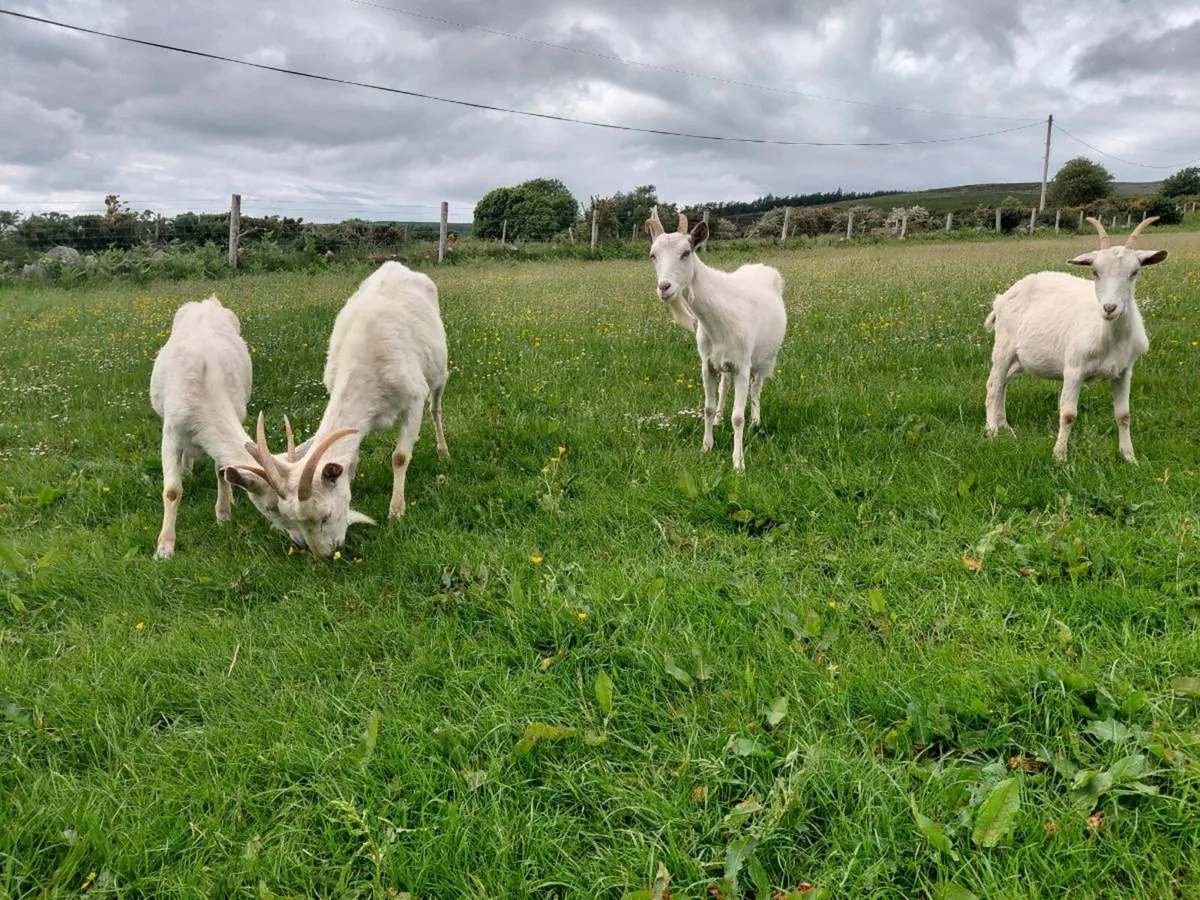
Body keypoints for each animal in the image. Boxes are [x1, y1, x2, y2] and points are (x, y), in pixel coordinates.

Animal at [149, 296, 296, 558]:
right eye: (271, 507)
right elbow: (172, 491)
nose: (294, 540)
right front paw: (164, 548)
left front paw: (224, 516)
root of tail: (208, 301)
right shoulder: (171, 432)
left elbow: (222, 472)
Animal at [224, 261, 449, 557]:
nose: (325, 555)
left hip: (439, 370)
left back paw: (443, 450)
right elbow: (350, 462)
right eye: (287, 516)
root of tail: (397, 265)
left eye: (326, 516)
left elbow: (400, 457)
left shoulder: (412, 398)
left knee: (436, 406)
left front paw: (396, 512)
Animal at [645, 207, 786, 470]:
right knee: (724, 386)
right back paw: (721, 418)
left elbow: (738, 417)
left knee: (756, 388)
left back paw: (756, 421)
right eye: (653, 255)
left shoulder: (742, 365)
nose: (664, 287)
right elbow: (708, 407)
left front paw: (738, 462)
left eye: (686, 253)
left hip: (765, 359)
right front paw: (707, 446)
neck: (719, 316)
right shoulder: (707, 364)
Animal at [984, 216, 1168, 463]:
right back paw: (992, 429)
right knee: (994, 383)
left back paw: (1004, 425)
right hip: (1004, 344)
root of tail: (1002, 297)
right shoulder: (1073, 368)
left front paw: (1130, 457)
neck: (1108, 335)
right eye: (1095, 272)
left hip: (1023, 359)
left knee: (1004, 382)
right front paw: (1060, 457)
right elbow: (1068, 414)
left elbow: (1124, 415)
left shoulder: (1124, 371)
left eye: (1135, 272)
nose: (1109, 308)